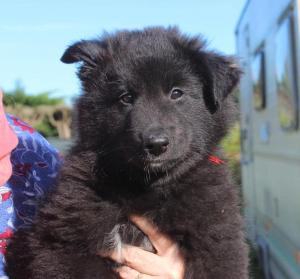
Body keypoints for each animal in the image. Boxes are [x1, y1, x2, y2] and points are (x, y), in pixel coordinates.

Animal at [5, 26, 248, 279]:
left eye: (176, 93)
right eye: (126, 97)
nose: (156, 144)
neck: (145, 187)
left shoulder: (217, 242)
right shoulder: (63, 247)